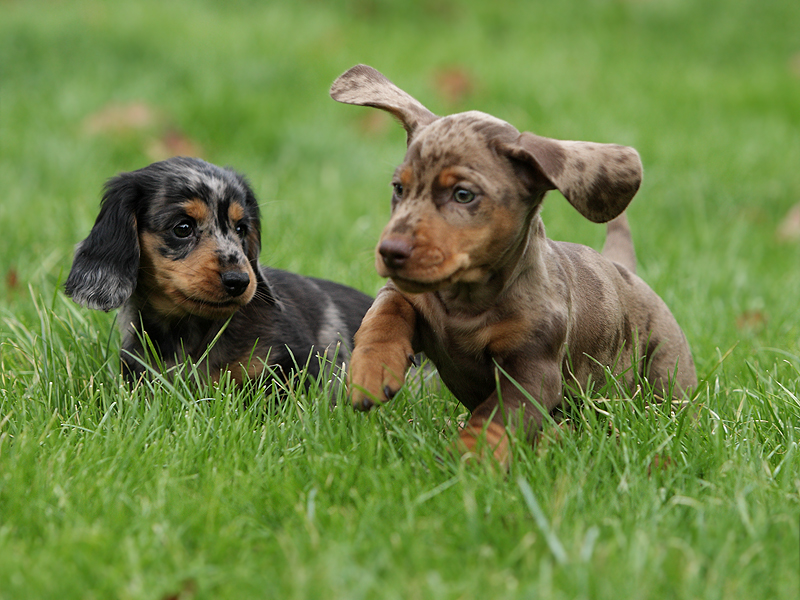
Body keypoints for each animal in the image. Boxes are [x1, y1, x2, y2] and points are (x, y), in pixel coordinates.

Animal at [330, 67, 692, 468]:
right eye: (399, 188)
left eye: (463, 194)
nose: (390, 251)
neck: (467, 301)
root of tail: (622, 267)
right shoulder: (408, 296)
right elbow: (385, 313)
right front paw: (371, 370)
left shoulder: (532, 371)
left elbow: (496, 418)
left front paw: (469, 460)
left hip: (666, 373)